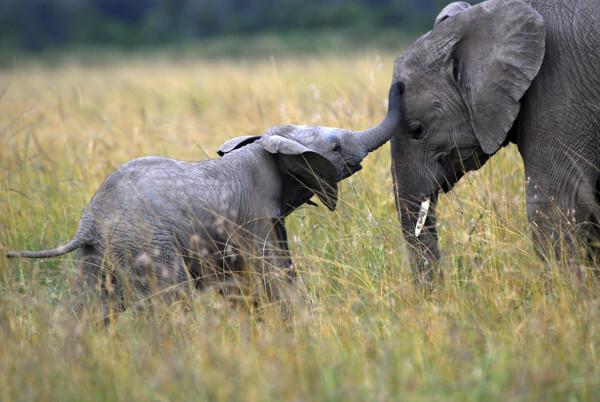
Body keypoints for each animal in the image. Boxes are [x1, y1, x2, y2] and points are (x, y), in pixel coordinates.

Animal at [7, 81, 404, 318]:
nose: (398, 85)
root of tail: (87, 225)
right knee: (173, 302)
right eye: (335, 147)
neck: (266, 148)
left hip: (97, 256)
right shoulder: (254, 212)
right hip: (147, 244)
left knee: (90, 308)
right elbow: (271, 271)